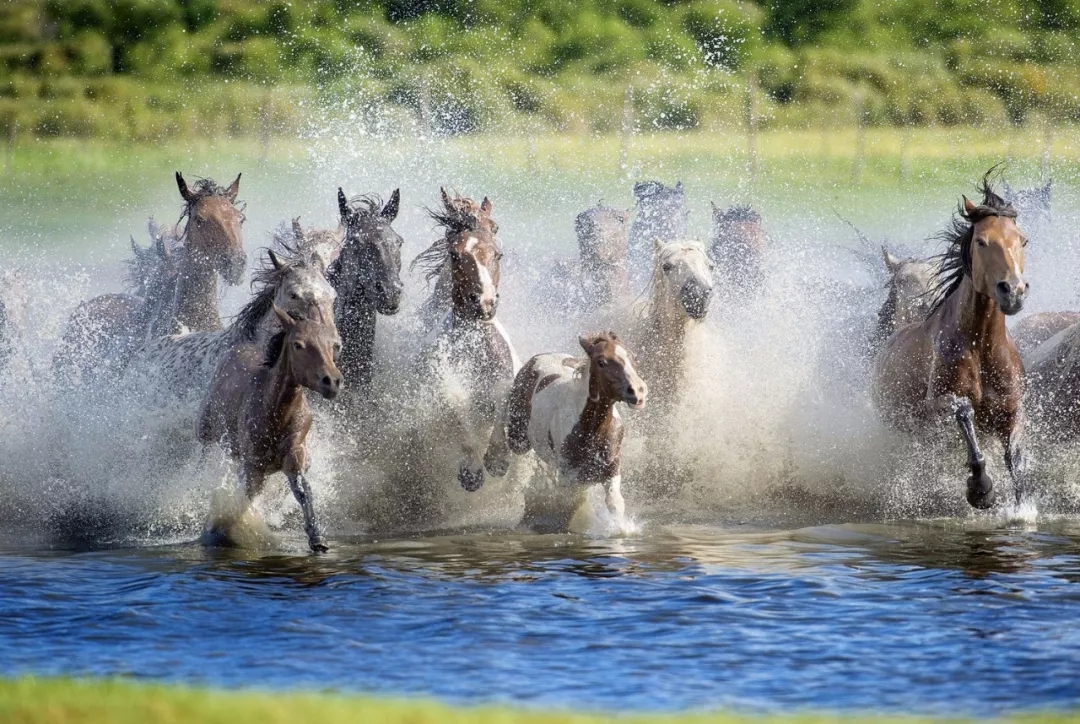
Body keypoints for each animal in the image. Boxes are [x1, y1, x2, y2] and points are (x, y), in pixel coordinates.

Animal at [198, 302, 341, 553]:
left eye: (333, 345)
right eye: (298, 344)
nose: (331, 382)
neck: (275, 412)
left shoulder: (295, 455)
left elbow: (303, 490)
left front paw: (318, 539)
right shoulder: (253, 465)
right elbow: (247, 497)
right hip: (206, 436)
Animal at [412, 189, 518, 492]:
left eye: (498, 254)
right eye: (455, 255)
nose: (483, 302)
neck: (472, 346)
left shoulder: (504, 379)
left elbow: (502, 399)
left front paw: (497, 459)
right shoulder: (444, 388)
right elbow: (457, 408)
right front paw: (471, 471)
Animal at [494, 332, 643, 529]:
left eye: (632, 357)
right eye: (601, 362)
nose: (638, 392)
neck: (591, 430)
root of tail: (535, 359)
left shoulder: (611, 467)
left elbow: (615, 503)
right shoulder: (568, 475)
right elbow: (569, 504)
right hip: (518, 436)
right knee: (502, 399)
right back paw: (495, 461)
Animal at [868, 173, 1028, 510]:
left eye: (1023, 240)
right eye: (981, 241)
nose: (1013, 292)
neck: (981, 345)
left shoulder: (1012, 408)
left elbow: (1016, 458)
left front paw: (1024, 507)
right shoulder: (936, 404)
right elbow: (963, 411)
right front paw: (981, 490)